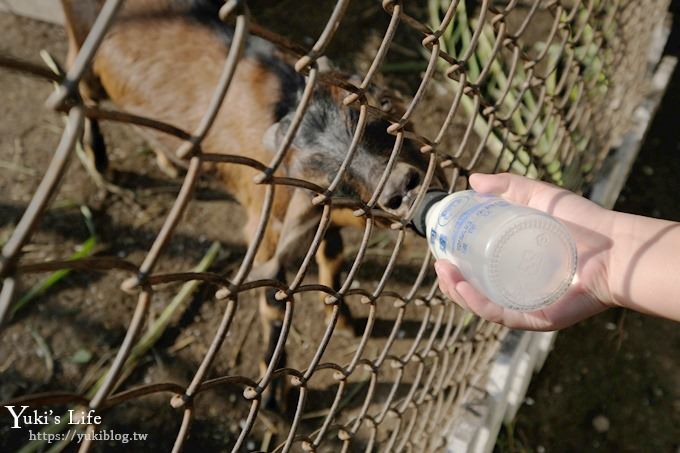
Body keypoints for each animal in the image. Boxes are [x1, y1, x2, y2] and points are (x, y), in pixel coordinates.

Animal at [61, 0, 438, 410]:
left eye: (373, 116)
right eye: (320, 172)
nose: (400, 187)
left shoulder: (322, 218)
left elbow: (333, 258)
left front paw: (346, 321)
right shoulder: (267, 226)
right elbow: (274, 301)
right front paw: (273, 394)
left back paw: (167, 161)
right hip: (83, 57)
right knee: (81, 93)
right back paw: (101, 164)